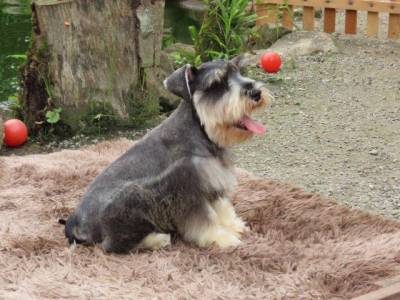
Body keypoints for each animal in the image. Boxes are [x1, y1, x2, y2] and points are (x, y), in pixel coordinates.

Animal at [65, 55, 272, 252]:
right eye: (216, 84)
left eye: (239, 73)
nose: (256, 93)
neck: (200, 130)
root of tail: (76, 223)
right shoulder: (188, 192)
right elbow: (206, 219)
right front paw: (223, 239)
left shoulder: (213, 183)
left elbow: (221, 208)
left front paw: (234, 225)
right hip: (131, 200)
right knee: (111, 245)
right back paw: (157, 240)